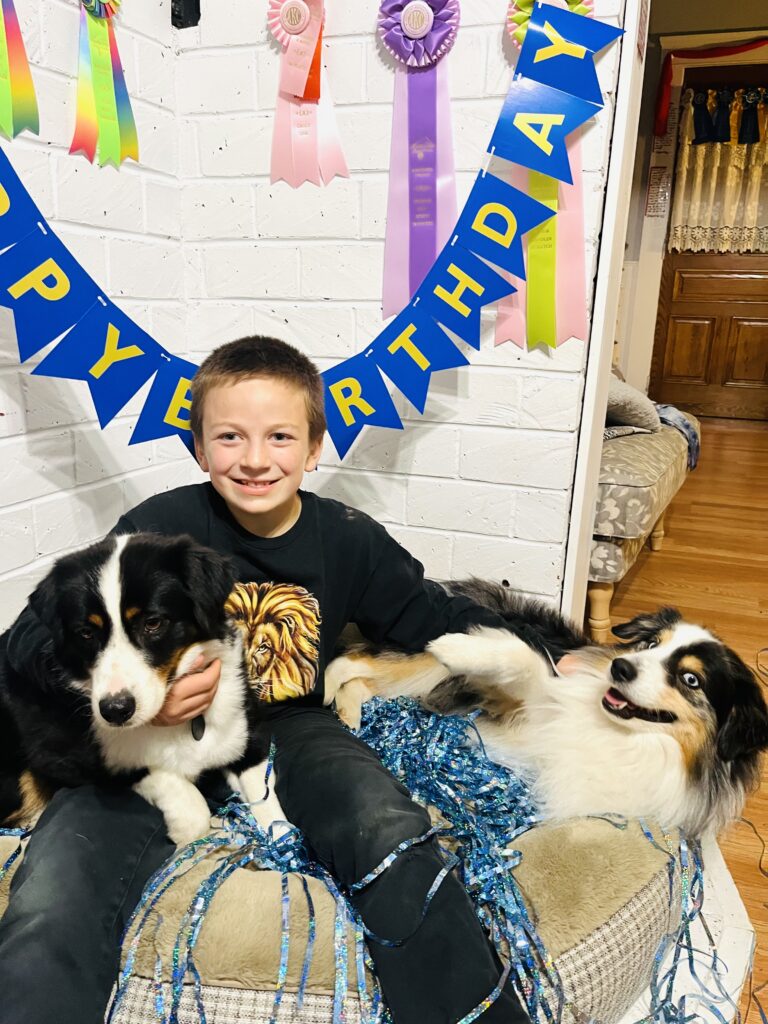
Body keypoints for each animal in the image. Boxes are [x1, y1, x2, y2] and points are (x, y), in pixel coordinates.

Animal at [0, 533, 286, 846]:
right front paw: (182, 835)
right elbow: (188, 804)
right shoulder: (75, 759)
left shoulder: (249, 732)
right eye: (86, 633)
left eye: (153, 623)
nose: (115, 711)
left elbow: (271, 809)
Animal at [325, 581, 768, 836]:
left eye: (690, 679)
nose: (619, 667)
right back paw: (330, 692)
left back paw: (349, 712)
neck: (620, 733)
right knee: (352, 659)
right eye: (649, 644)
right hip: (423, 662)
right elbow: (524, 658)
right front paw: (463, 647)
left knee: (363, 677)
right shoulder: (524, 701)